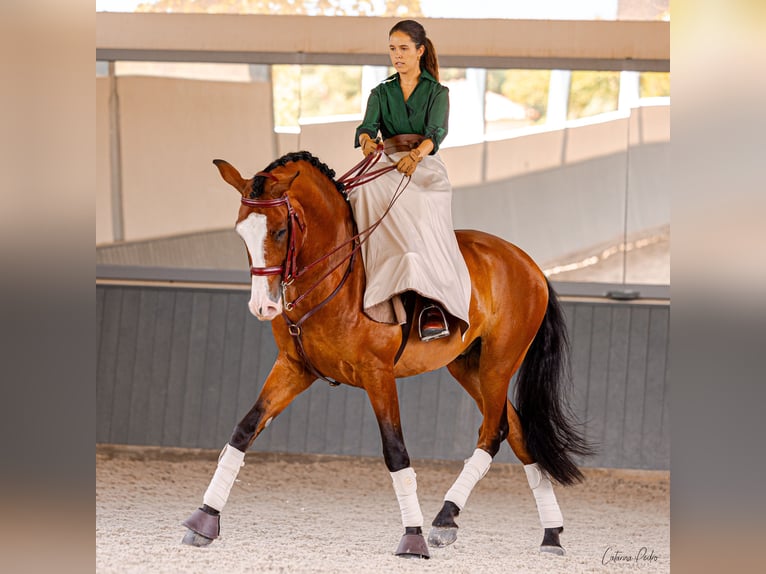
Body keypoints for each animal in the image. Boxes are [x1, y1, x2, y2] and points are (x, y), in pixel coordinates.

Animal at [183, 151, 592, 560]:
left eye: (281, 231)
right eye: (241, 233)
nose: (263, 306)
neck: (336, 279)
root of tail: (529, 264)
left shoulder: (377, 373)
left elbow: (396, 451)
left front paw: (413, 538)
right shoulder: (295, 367)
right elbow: (244, 430)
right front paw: (204, 519)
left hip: (498, 364)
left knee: (495, 431)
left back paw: (445, 518)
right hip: (469, 368)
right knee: (519, 432)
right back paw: (550, 534)